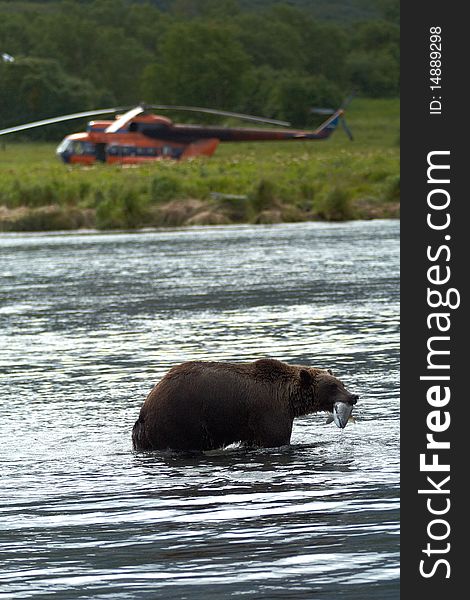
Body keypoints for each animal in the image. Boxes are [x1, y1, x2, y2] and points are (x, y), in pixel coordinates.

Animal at [130, 356, 358, 450]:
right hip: (178, 421)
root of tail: (144, 411)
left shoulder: (252, 425)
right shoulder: (270, 412)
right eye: (333, 386)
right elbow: (276, 438)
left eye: (341, 383)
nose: (353, 396)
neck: (288, 397)